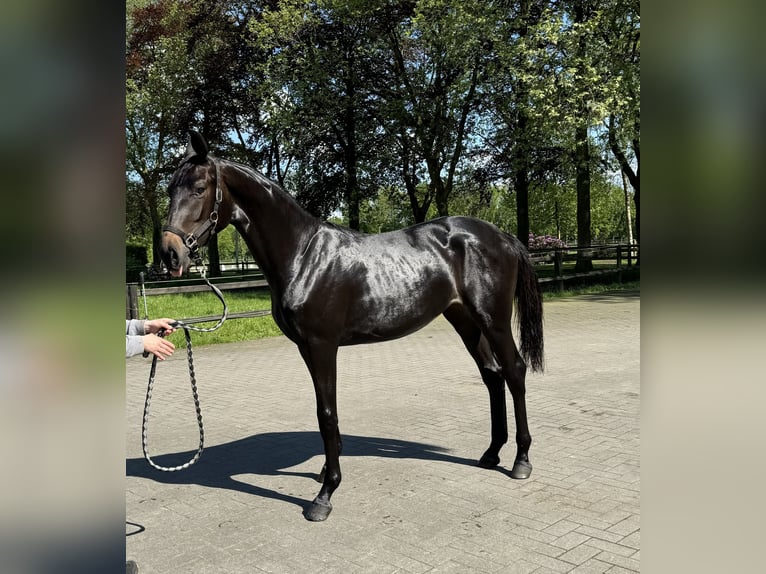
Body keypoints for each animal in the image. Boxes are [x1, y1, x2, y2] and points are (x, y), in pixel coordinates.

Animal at [160, 131, 544, 522]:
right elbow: (324, 409)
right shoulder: (306, 348)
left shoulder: (321, 345)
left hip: (493, 320)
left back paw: (521, 459)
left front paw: (325, 494)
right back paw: (491, 453)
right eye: (170, 189)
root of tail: (502, 236)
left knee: (514, 371)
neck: (303, 255)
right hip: (464, 320)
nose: (170, 253)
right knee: (492, 376)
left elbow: (326, 413)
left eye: (199, 188)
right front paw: (326, 472)